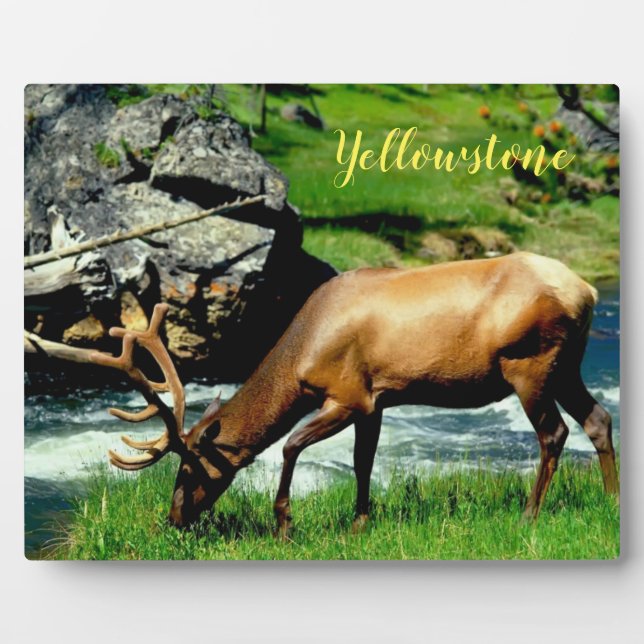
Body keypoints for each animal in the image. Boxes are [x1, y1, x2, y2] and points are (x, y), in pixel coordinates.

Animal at [90, 251, 618, 538]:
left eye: (188, 469)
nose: (173, 518)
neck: (302, 355)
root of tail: (588, 292)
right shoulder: (377, 399)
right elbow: (364, 461)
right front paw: (360, 522)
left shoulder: (348, 395)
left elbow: (289, 445)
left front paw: (284, 525)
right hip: (566, 367)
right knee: (598, 418)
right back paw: (611, 500)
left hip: (531, 364)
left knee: (554, 433)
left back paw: (529, 515)